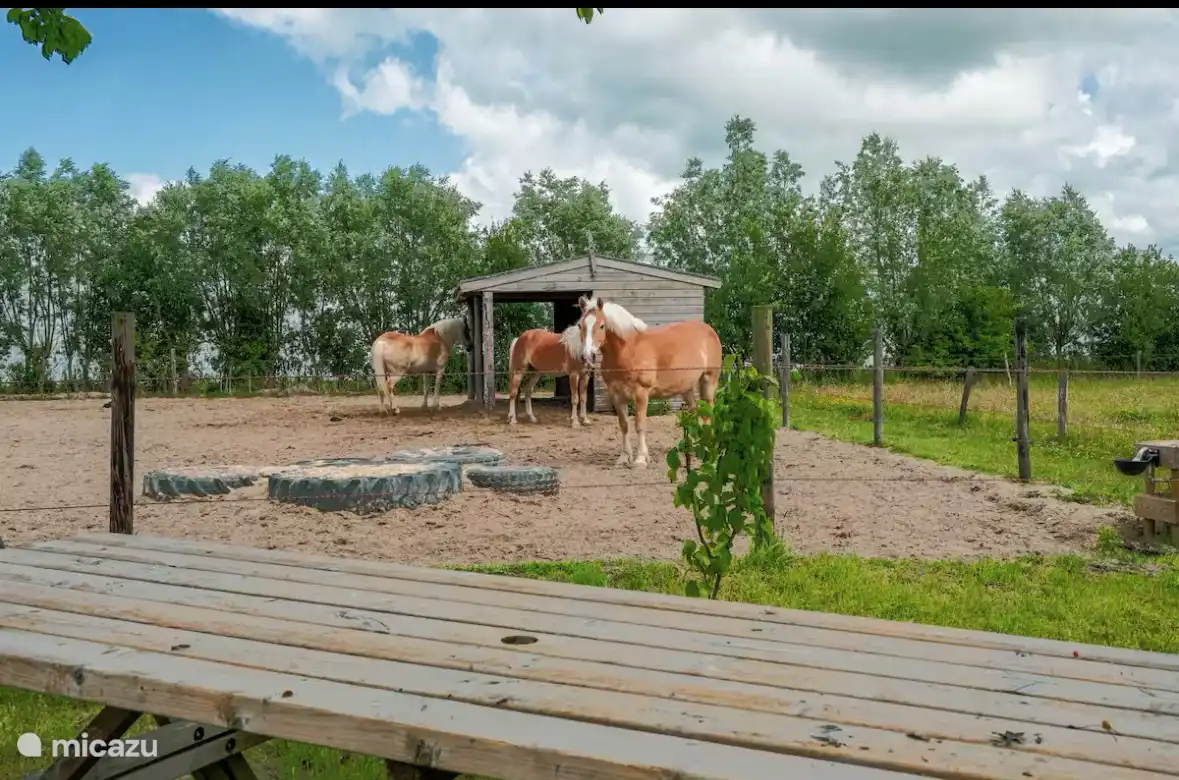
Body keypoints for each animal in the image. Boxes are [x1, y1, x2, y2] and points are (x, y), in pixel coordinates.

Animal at [576, 295, 721, 468]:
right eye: (580, 325)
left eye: (602, 325)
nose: (587, 356)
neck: (627, 351)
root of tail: (709, 330)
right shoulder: (616, 394)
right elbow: (624, 425)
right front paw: (624, 457)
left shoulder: (641, 393)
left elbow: (640, 425)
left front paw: (640, 459)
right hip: (686, 388)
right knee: (694, 411)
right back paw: (691, 446)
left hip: (708, 381)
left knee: (708, 412)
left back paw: (707, 447)